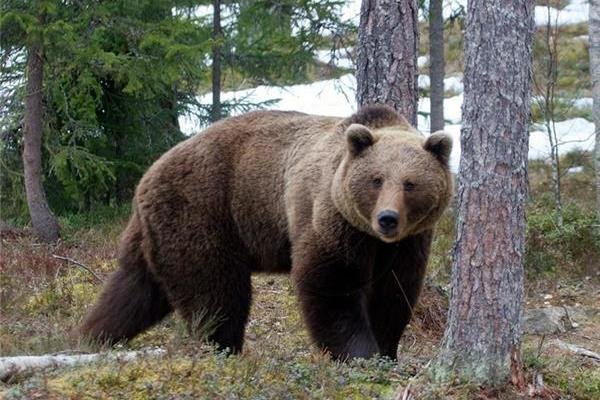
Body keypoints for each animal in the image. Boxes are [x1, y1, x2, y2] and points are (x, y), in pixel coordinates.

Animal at [81, 104, 454, 360]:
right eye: (376, 180)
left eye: (410, 184)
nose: (387, 219)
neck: (373, 238)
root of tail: (148, 174)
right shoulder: (331, 220)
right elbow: (332, 286)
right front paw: (359, 354)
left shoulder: (409, 243)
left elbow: (395, 293)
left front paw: (386, 351)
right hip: (203, 214)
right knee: (216, 294)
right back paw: (224, 349)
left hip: (157, 233)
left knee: (133, 290)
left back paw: (89, 337)